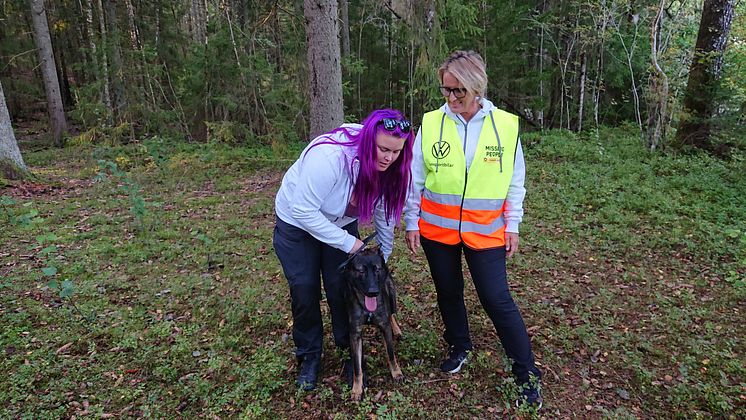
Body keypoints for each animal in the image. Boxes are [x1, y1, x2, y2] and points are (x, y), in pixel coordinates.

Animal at [342, 246, 402, 400]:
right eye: (361, 271)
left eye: (377, 269)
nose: (373, 292)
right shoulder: (355, 334)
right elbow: (357, 367)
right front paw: (357, 389)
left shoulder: (384, 327)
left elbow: (391, 354)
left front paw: (396, 373)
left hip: (392, 296)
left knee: (392, 314)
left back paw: (397, 330)